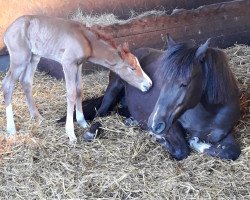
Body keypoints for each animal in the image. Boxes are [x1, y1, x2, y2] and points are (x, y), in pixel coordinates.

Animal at [1, 15, 152, 144]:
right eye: (132, 68)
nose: (149, 84)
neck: (85, 40)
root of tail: (8, 30)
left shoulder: (78, 65)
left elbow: (79, 90)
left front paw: (82, 121)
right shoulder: (68, 63)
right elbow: (71, 93)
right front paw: (71, 134)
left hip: (34, 57)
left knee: (26, 82)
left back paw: (37, 116)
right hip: (20, 58)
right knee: (7, 85)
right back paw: (11, 130)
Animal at [58, 36, 240, 160]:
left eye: (185, 83)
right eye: (162, 79)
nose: (154, 123)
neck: (208, 113)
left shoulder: (223, 134)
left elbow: (232, 152)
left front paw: (199, 143)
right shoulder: (172, 125)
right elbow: (182, 150)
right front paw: (160, 138)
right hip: (112, 90)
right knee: (100, 113)